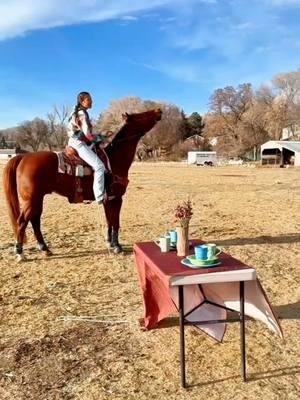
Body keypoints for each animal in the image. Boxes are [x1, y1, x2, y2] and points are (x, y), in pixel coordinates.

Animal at [2, 108, 162, 260]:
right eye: (140, 115)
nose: (158, 110)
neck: (114, 159)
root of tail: (23, 157)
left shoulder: (107, 200)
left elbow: (109, 221)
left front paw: (109, 242)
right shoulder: (116, 199)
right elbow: (115, 222)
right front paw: (117, 246)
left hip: (37, 199)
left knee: (35, 221)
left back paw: (45, 249)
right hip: (31, 200)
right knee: (22, 221)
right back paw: (20, 253)